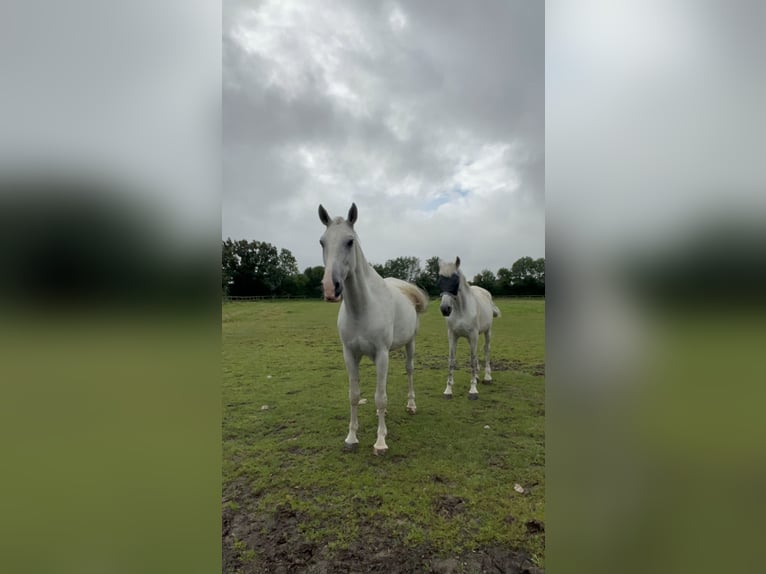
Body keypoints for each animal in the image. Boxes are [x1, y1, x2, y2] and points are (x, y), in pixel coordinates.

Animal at [316, 205, 428, 456]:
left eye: (349, 241)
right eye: (322, 242)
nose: (330, 288)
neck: (362, 307)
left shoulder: (382, 354)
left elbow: (379, 397)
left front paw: (380, 442)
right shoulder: (350, 354)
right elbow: (355, 395)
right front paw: (351, 438)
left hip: (410, 343)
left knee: (409, 371)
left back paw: (412, 405)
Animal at [440, 260, 500, 400]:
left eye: (455, 281)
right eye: (440, 280)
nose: (445, 309)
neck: (461, 309)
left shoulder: (473, 335)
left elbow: (472, 360)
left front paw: (473, 391)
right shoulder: (452, 335)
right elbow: (451, 360)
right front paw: (448, 390)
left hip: (487, 332)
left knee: (486, 350)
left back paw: (487, 377)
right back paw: (477, 376)